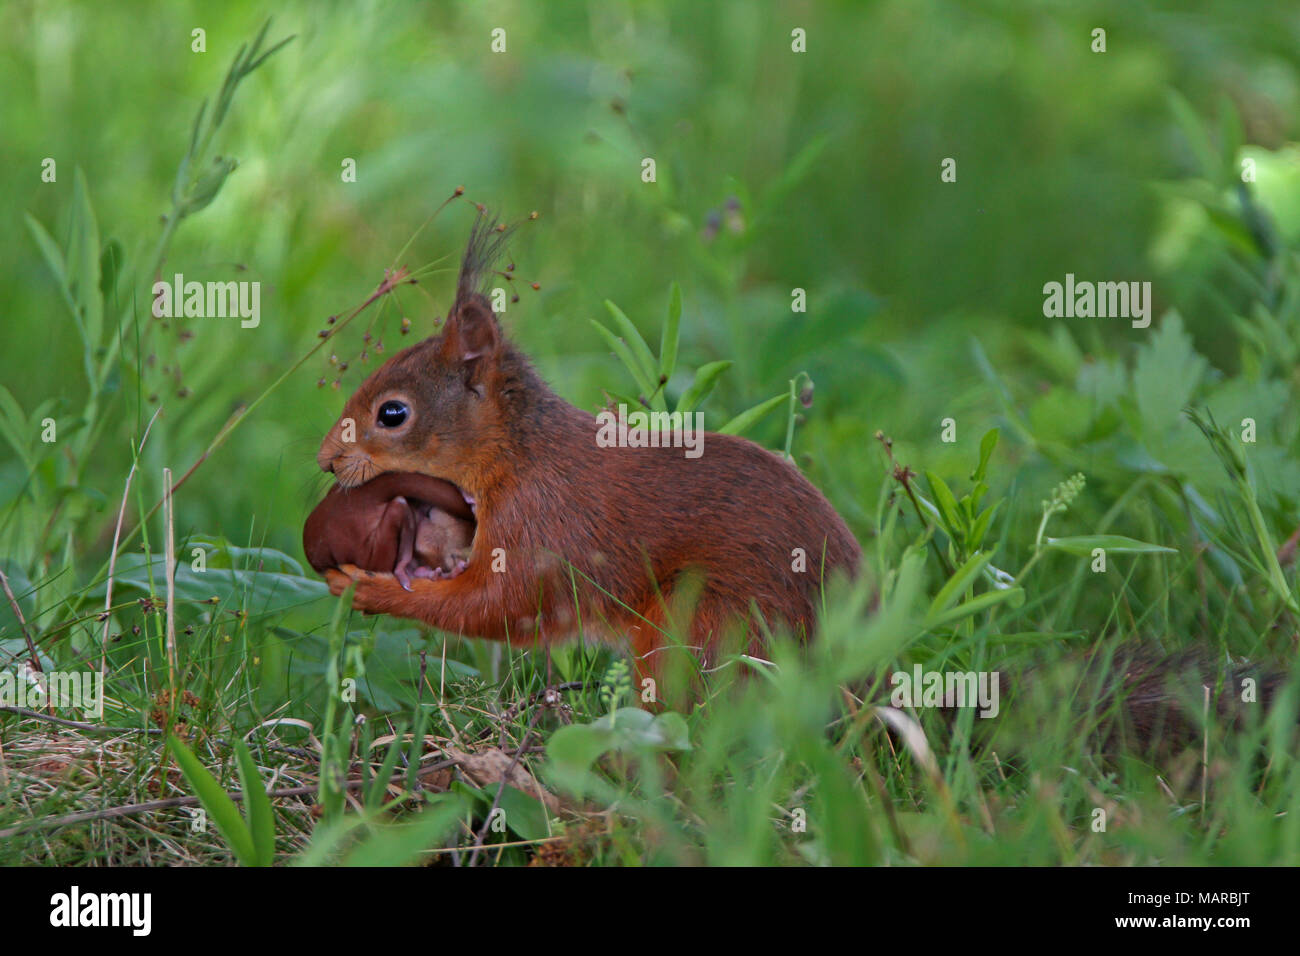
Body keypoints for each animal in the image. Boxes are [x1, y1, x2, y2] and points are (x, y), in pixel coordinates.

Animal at [310, 217, 863, 681]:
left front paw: (364, 586)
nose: (326, 461)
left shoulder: (544, 528)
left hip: (702, 621)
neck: (519, 456)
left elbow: (499, 606)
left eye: (392, 414)